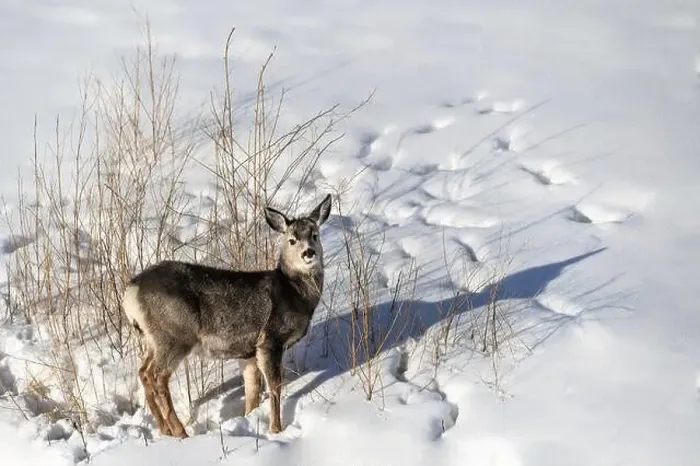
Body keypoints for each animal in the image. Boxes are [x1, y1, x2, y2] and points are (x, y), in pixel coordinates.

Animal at [122, 194, 332, 438]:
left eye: (315, 235)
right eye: (291, 240)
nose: (309, 252)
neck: (295, 293)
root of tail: (131, 293)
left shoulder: (249, 351)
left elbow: (252, 390)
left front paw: (249, 417)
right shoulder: (271, 339)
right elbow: (275, 387)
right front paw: (275, 429)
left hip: (151, 339)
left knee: (143, 372)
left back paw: (165, 430)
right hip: (173, 335)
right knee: (156, 376)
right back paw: (180, 431)